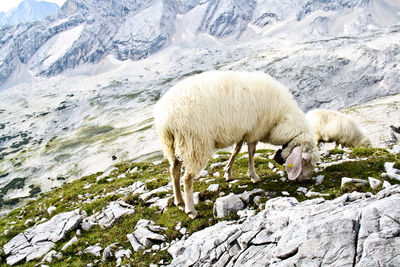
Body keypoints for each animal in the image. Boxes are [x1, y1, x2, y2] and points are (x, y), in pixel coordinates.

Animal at [153, 71, 318, 220]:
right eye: (305, 160)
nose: (306, 180)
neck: (282, 119)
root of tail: (166, 118)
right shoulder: (254, 130)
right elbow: (251, 152)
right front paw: (253, 176)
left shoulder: (243, 131)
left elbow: (236, 150)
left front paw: (228, 172)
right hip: (195, 143)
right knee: (187, 178)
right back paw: (191, 210)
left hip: (174, 145)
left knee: (174, 172)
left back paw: (179, 201)